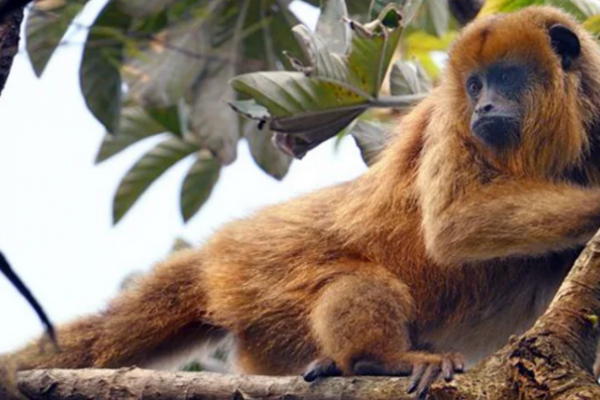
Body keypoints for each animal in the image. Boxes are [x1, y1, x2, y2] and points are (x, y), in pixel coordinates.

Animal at [4, 5, 600, 396]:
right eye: (475, 86)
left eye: (506, 77)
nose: (484, 107)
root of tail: (222, 250)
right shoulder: (449, 119)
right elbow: (457, 222)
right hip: (266, 276)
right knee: (357, 282)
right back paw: (379, 360)